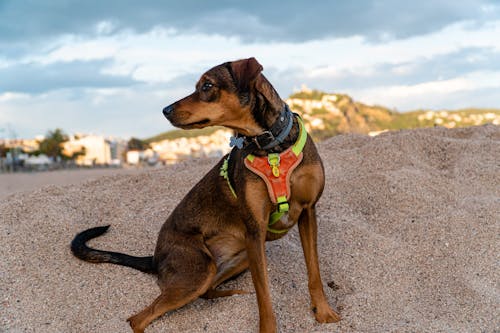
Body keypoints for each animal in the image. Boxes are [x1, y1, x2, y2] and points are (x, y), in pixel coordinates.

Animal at [70, 57, 342, 332]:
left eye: (207, 85)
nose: (165, 109)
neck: (271, 146)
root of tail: (155, 258)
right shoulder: (255, 229)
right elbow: (264, 297)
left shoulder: (307, 212)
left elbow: (314, 272)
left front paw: (324, 312)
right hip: (200, 269)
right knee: (139, 319)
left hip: (240, 258)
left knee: (208, 292)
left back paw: (233, 294)